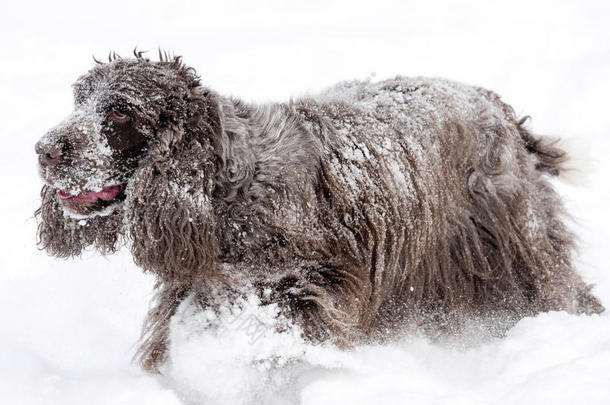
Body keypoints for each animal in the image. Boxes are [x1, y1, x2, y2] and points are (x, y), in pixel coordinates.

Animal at [35, 51, 600, 372]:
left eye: (119, 112)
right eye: (79, 101)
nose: (44, 149)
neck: (230, 190)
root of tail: (495, 104)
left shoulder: (310, 287)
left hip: (510, 245)